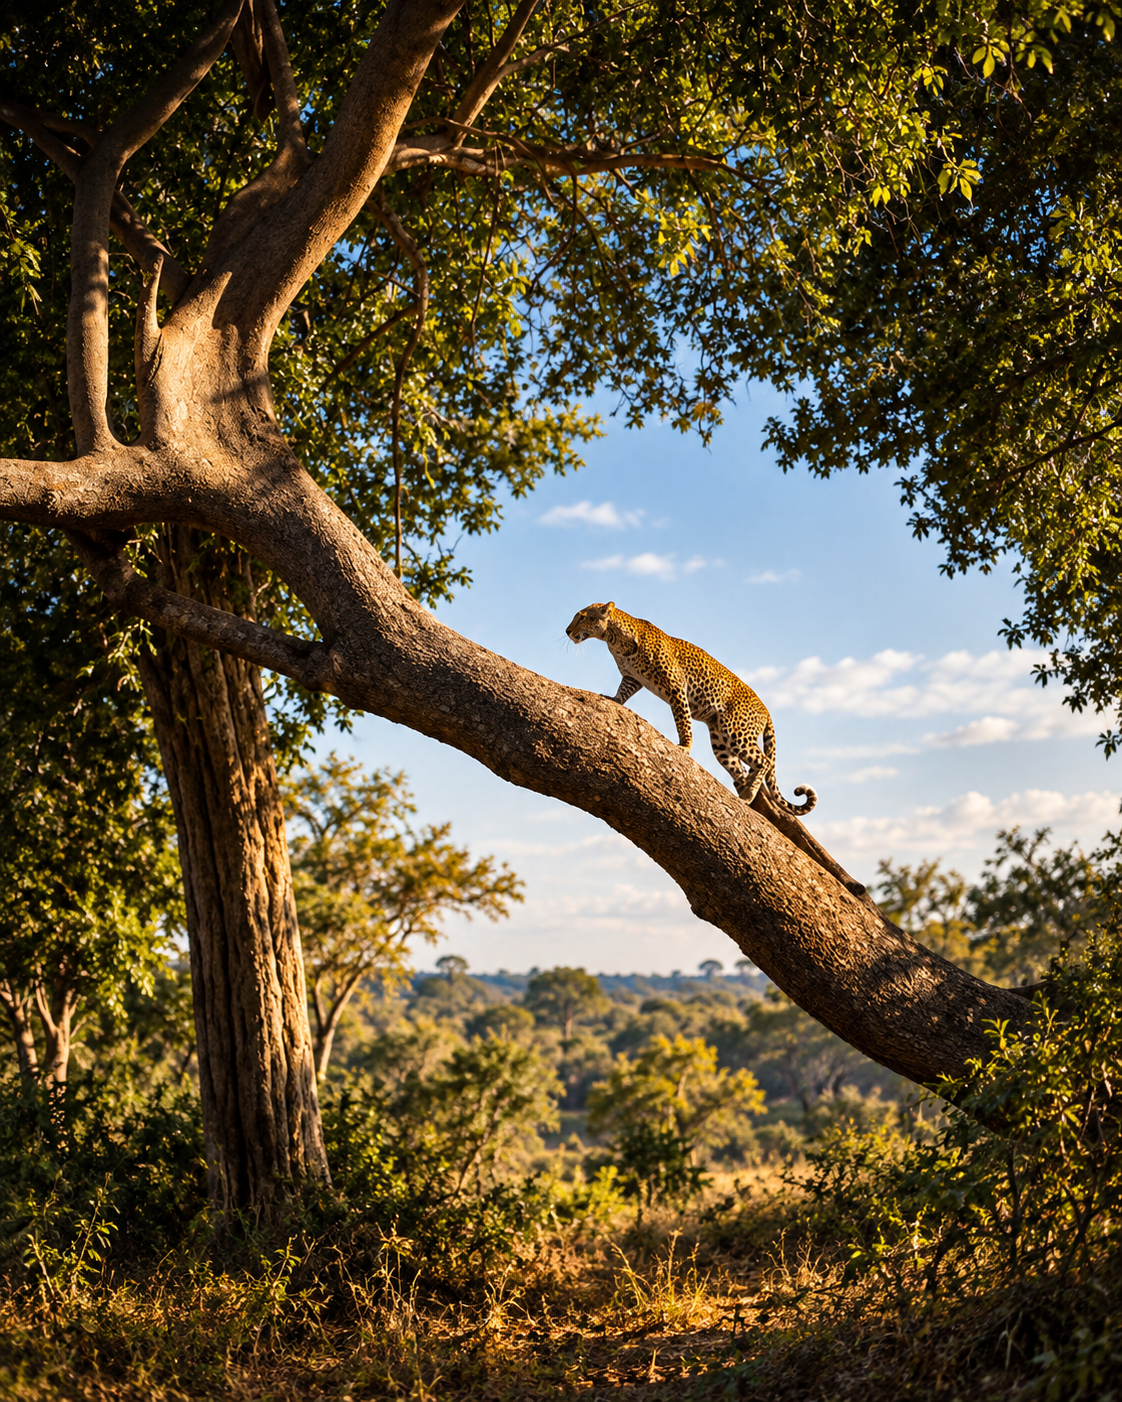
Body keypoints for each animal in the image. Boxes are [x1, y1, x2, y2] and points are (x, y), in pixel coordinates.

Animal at [565, 601, 816, 816]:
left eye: (582, 617)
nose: (567, 631)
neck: (614, 639)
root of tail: (766, 711)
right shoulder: (632, 678)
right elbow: (623, 692)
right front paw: (614, 698)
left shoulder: (676, 687)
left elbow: (682, 720)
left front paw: (684, 746)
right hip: (721, 743)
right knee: (742, 767)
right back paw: (744, 794)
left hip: (736, 731)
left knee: (763, 761)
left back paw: (747, 795)